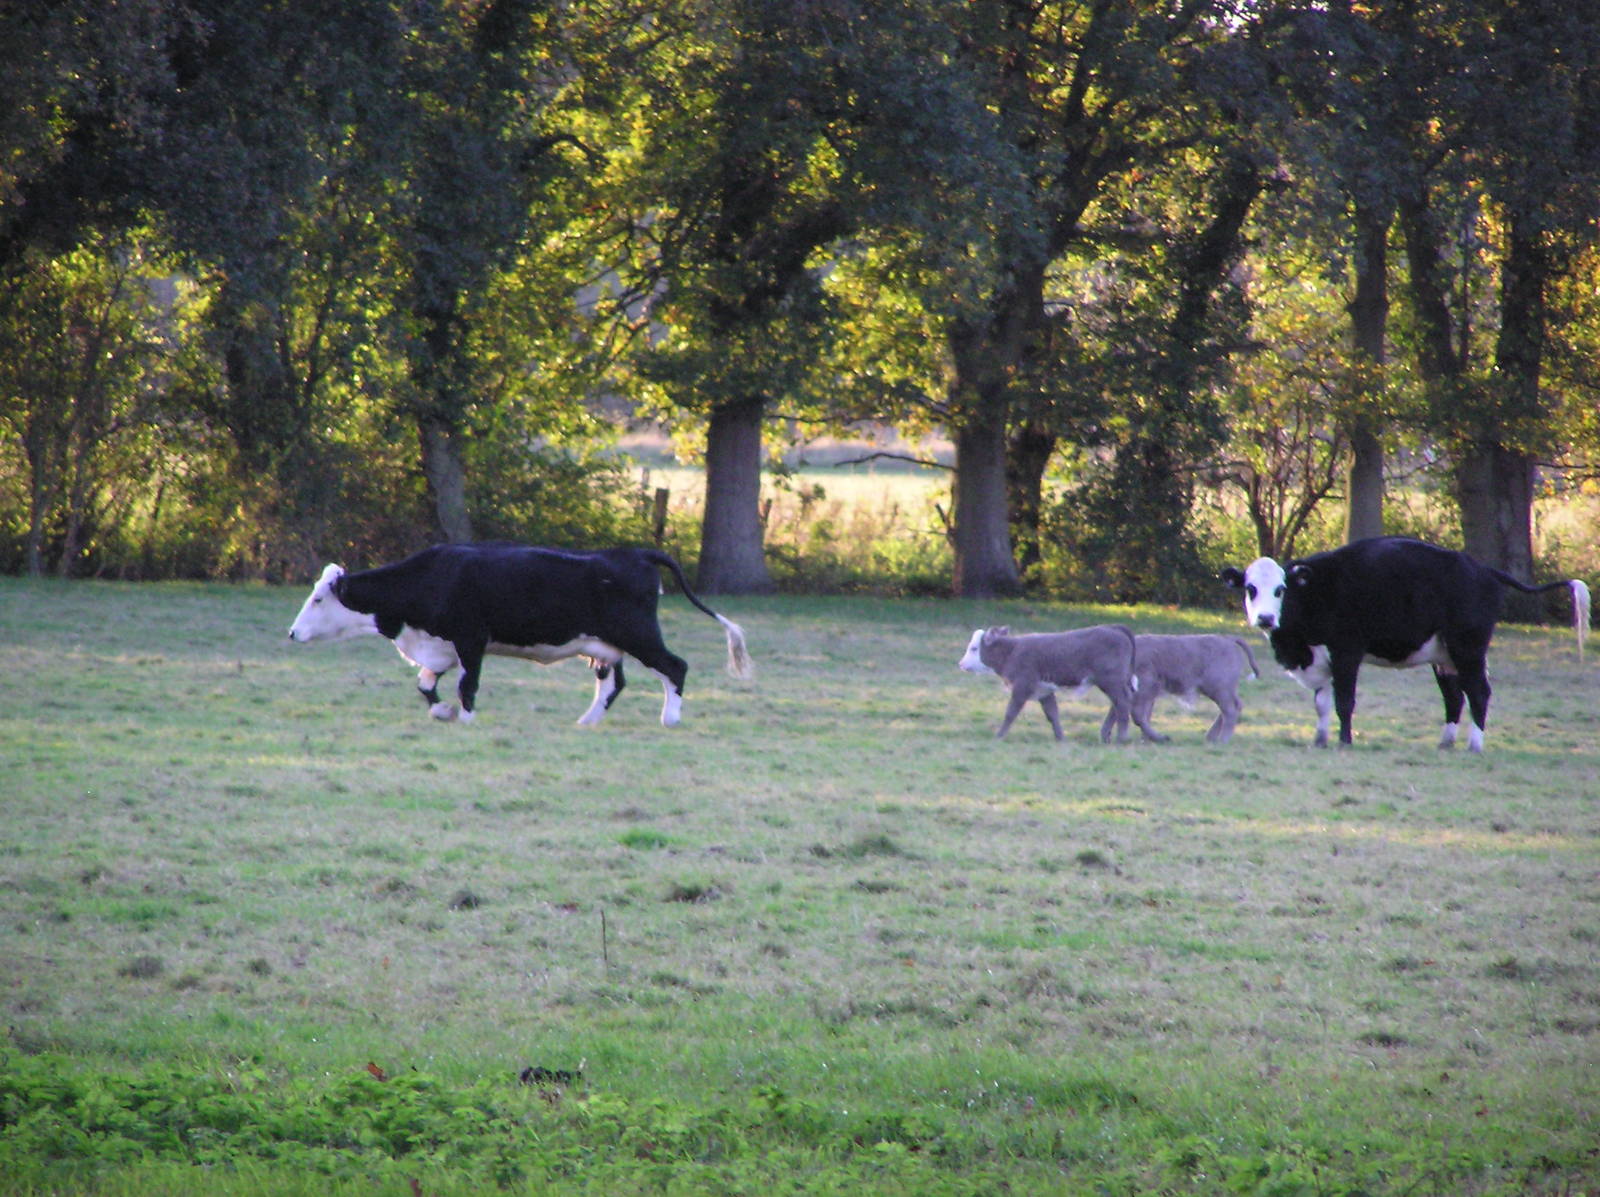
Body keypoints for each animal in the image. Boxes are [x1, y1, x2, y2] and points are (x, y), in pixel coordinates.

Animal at [287, 543, 753, 727]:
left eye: (318, 599)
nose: (292, 632)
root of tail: (636, 553)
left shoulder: (471, 640)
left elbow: (468, 686)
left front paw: (466, 719)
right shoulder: (442, 648)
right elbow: (425, 686)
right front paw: (442, 711)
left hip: (638, 635)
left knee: (675, 666)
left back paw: (670, 718)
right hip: (605, 646)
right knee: (612, 684)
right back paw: (587, 721)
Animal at [958, 625, 1143, 742]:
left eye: (974, 648)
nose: (961, 664)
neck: (1012, 651)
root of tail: (1114, 628)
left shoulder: (1022, 687)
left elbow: (1010, 712)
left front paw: (999, 736)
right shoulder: (1044, 690)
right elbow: (1052, 714)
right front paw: (1060, 737)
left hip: (1111, 681)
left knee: (1122, 702)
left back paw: (1121, 737)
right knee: (1117, 704)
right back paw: (1106, 735)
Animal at [1111, 633, 1259, 745]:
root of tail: (1228, 638)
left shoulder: (1145, 689)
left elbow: (1137, 715)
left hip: (1219, 688)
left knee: (1229, 710)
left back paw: (1222, 740)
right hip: (1223, 690)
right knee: (1235, 706)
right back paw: (1211, 736)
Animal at [1221, 536, 1589, 751]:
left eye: (1280, 589)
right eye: (1250, 588)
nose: (1265, 618)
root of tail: (1484, 570)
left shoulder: (1346, 652)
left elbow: (1344, 702)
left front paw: (1344, 742)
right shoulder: (1320, 657)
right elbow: (1322, 704)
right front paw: (1320, 740)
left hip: (1468, 649)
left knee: (1479, 694)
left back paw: (1474, 745)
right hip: (1444, 657)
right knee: (1454, 697)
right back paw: (1445, 743)